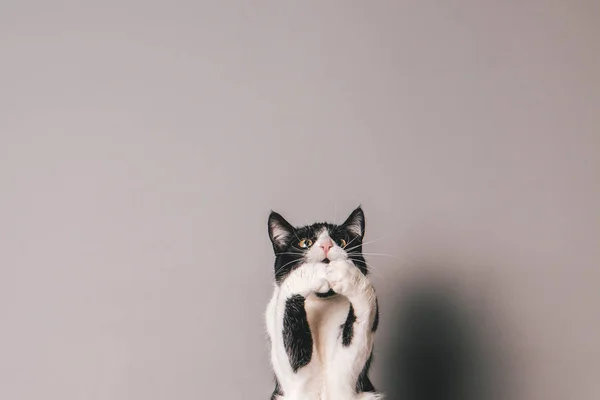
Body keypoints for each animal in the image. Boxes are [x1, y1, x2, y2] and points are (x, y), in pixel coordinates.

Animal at [264, 208, 382, 398]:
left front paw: (346, 273)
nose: (327, 245)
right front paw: (315, 272)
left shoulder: (345, 377)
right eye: (305, 243)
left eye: (342, 241)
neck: (323, 302)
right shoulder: (296, 380)